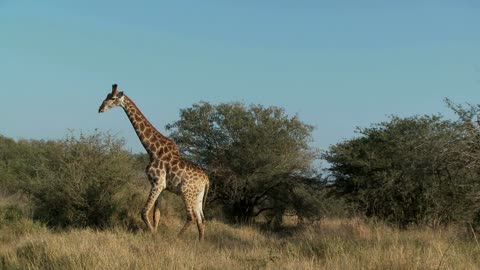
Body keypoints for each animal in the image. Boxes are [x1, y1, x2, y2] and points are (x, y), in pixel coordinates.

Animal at [98, 83, 209, 239]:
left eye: (113, 98)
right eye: (106, 96)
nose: (100, 109)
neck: (152, 150)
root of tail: (207, 180)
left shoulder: (157, 183)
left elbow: (144, 212)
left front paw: (152, 233)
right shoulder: (159, 185)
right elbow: (156, 214)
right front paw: (155, 233)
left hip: (187, 192)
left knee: (191, 217)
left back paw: (177, 237)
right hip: (197, 196)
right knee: (201, 219)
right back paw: (200, 242)